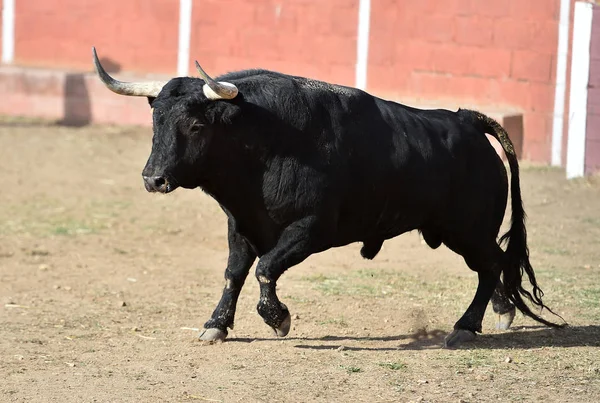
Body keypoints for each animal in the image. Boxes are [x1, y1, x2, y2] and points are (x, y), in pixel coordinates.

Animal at [92, 49, 564, 348]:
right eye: (155, 120)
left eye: (194, 125)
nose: (153, 179)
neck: (263, 141)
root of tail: (466, 120)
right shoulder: (240, 224)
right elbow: (234, 273)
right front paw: (215, 326)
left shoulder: (312, 228)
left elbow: (265, 269)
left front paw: (279, 319)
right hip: (459, 231)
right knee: (493, 265)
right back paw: (499, 313)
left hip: (466, 227)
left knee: (491, 264)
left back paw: (466, 327)